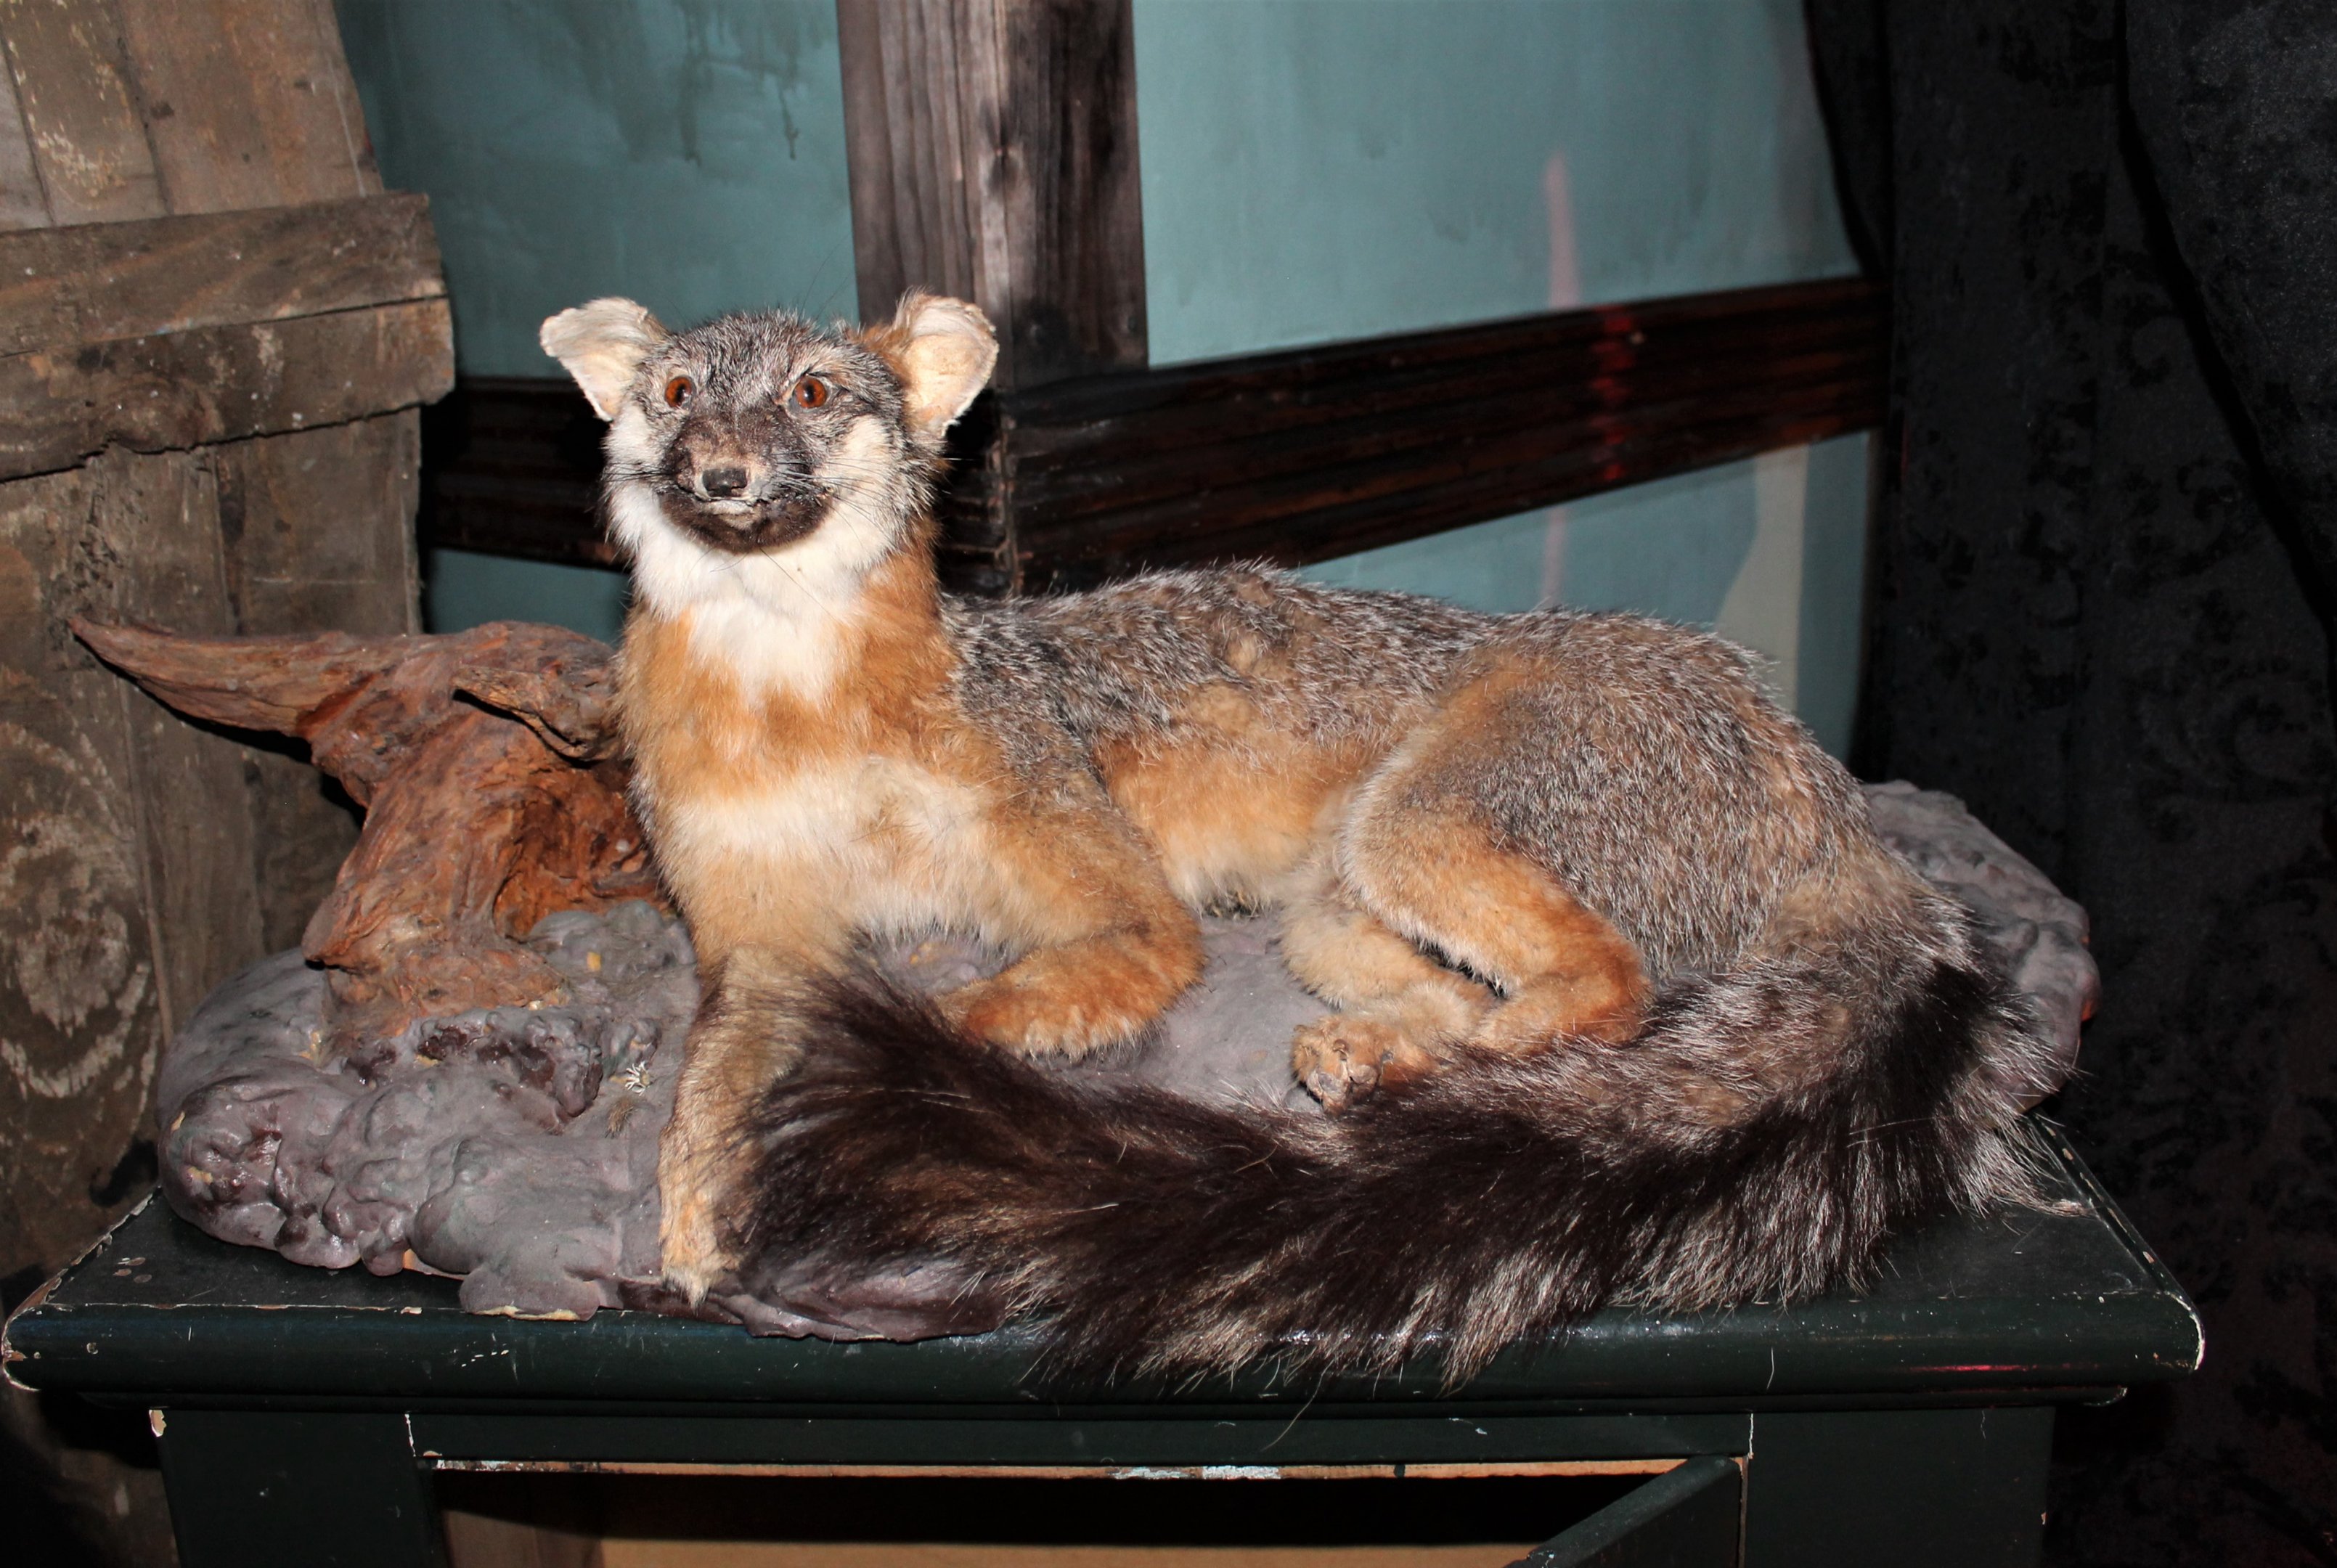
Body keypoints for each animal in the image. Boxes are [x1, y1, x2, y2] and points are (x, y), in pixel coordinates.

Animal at [540, 290, 2059, 1380]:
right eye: (676, 396)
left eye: (811, 393)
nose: (719, 473)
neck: (794, 705)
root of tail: (1816, 775)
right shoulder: (757, 935)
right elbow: (716, 1077)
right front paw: (700, 1213)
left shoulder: (1120, 905)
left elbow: (965, 1013)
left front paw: (891, 1097)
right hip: (1332, 919)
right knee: (1510, 1003)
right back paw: (1386, 1063)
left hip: (1414, 834)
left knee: (1609, 992)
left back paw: (1439, 1078)